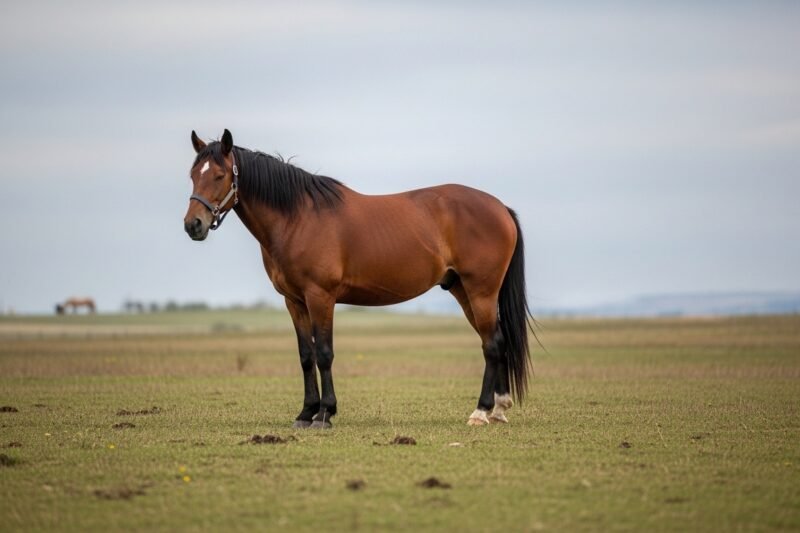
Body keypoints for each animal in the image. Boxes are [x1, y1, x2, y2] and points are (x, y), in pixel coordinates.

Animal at [183, 129, 533, 428]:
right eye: (192, 175)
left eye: (219, 175)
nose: (193, 225)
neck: (297, 218)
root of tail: (500, 207)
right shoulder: (294, 301)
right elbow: (306, 356)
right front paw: (306, 413)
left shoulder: (320, 297)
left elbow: (324, 353)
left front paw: (325, 414)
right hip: (462, 290)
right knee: (496, 341)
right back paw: (499, 409)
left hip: (481, 291)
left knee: (491, 344)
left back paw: (481, 412)